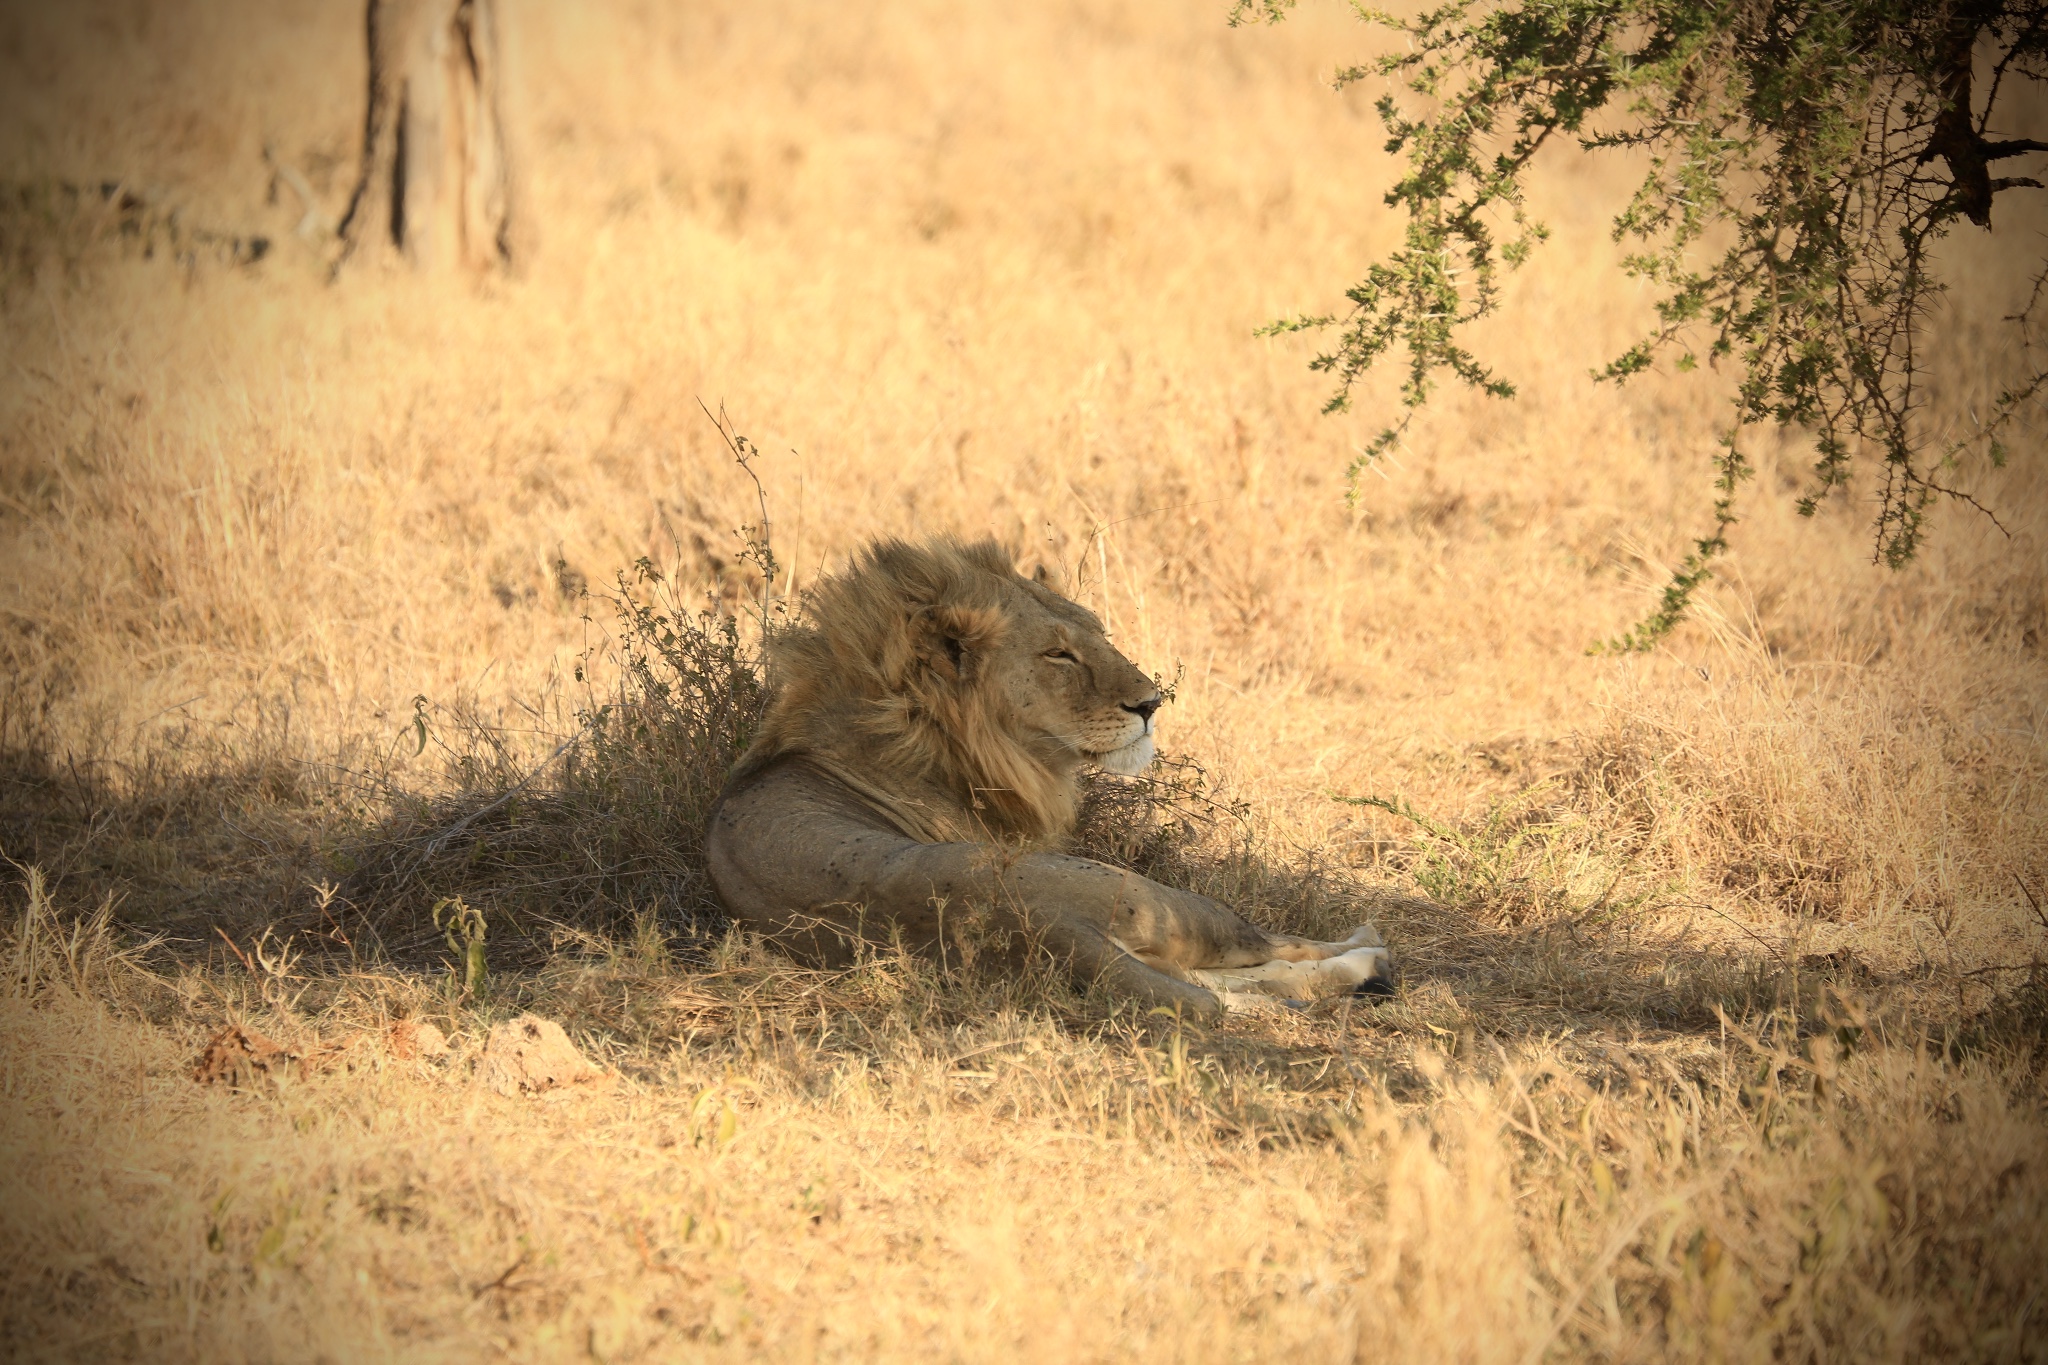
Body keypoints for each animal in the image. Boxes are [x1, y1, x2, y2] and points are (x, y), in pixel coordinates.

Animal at [704, 540, 1392, 1019]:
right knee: (1262, 952)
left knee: (1220, 991)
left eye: (1100, 635)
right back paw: (1366, 953)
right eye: (1059, 654)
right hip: (1153, 894)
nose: (1152, 703)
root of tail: (1031, 921)